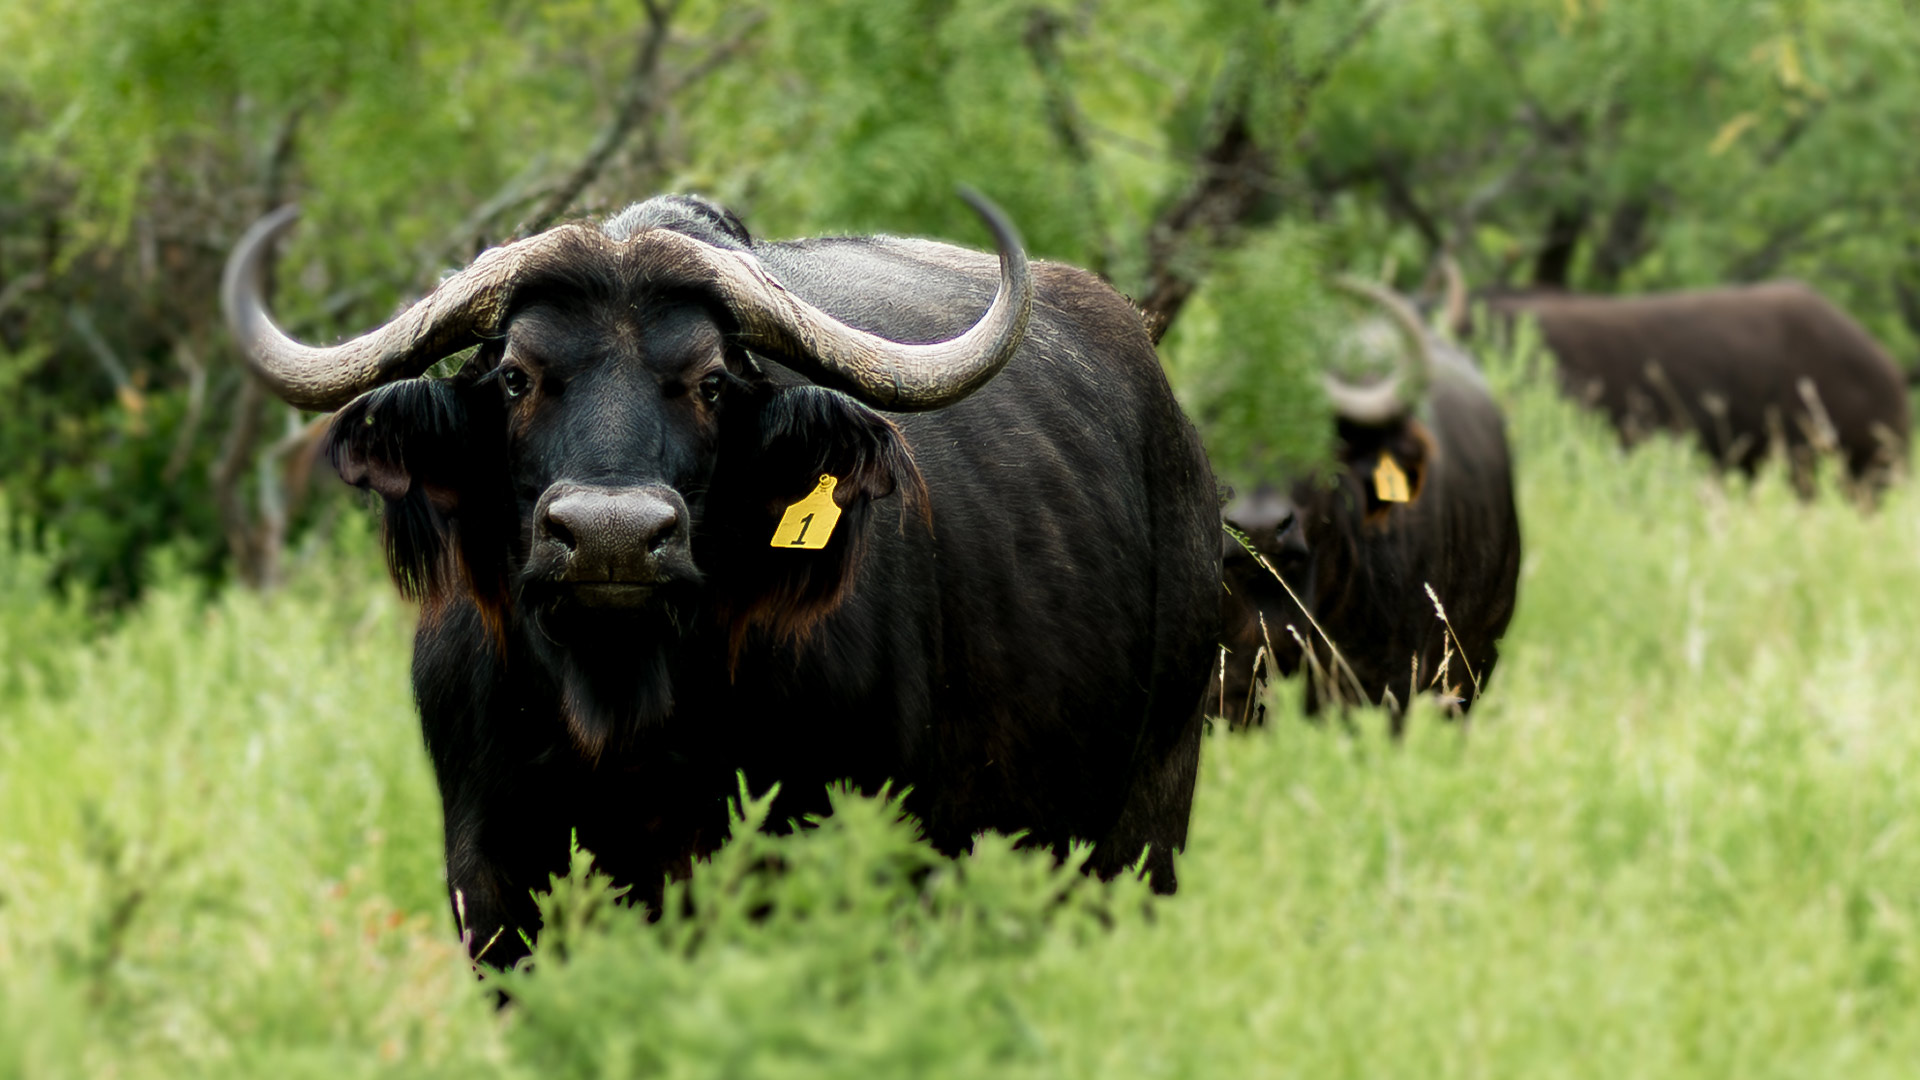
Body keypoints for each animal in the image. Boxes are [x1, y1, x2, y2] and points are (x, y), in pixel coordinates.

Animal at [224, 192, 1221, 969]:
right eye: (515, 377)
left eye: (708, 381)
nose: (612, 539)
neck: (621, 717)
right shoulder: (495, 885)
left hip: (1146, 829)